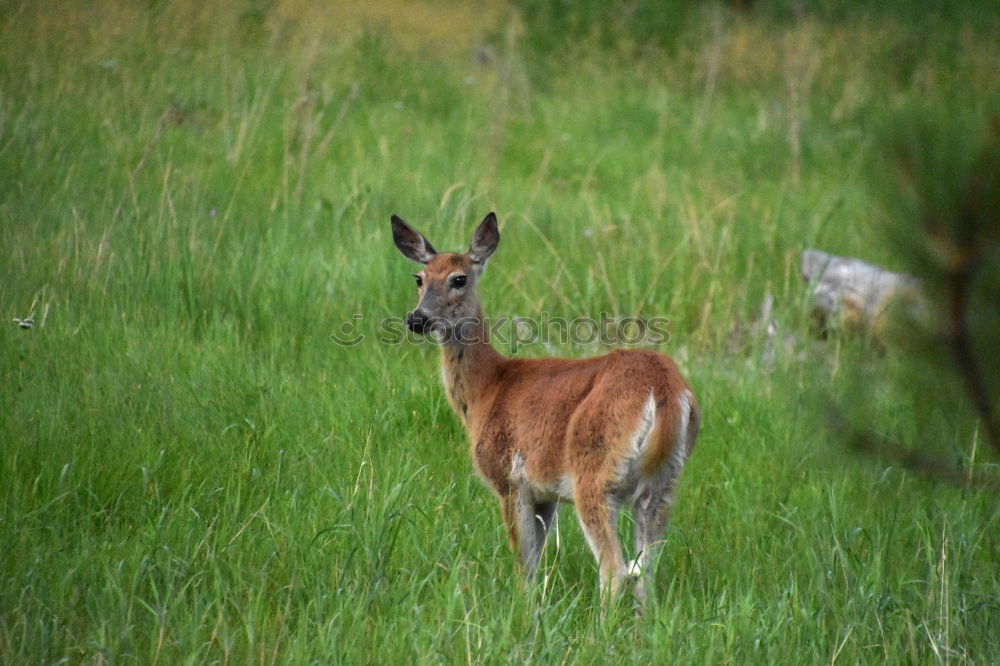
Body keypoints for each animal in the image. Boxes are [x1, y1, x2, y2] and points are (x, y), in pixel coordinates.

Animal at [390, 213, 704, 600]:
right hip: (664, 484)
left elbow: (524, 567)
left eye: (458, 278)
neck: (488, 389)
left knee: (615, 570)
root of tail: (665, 388)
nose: (416, 318)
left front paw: (523, 610)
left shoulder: (509, 479)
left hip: (595, 472)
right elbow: (536, 563)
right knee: (646, 574)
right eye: (419, 278)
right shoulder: (545, 493)